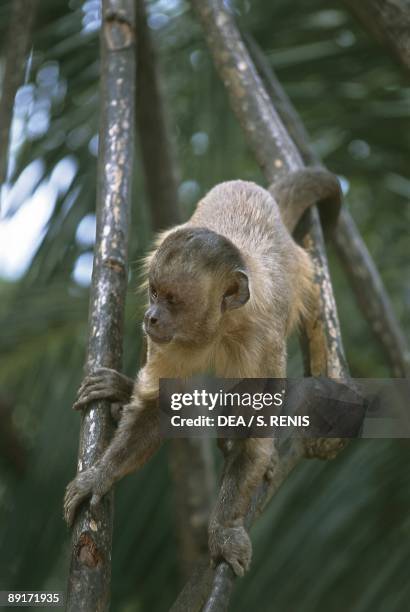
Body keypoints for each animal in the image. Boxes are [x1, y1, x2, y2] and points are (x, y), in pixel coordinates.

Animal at [63, 169, 340, 580]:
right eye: (155, 294)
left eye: (173, 300)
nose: (152, 317)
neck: (219, 329)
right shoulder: (168, 343)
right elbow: (158, 409)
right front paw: (101, 475)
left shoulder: (262, 343)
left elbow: (253, 437)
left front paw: (223, 530)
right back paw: (122, 390)